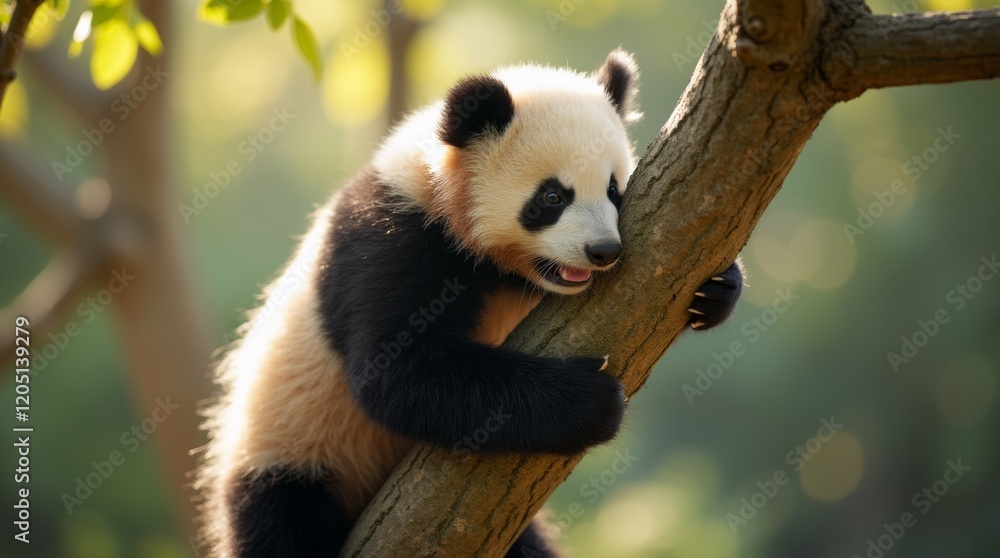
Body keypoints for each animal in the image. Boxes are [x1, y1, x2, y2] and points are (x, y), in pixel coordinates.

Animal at [197, 49, 743, 557]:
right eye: (552, 197)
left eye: (614, 189)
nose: (603, 251)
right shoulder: (389, 234)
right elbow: (394, 370)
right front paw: (589, 400)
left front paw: (718, 290)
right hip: (292, 448)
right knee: (281, 521)